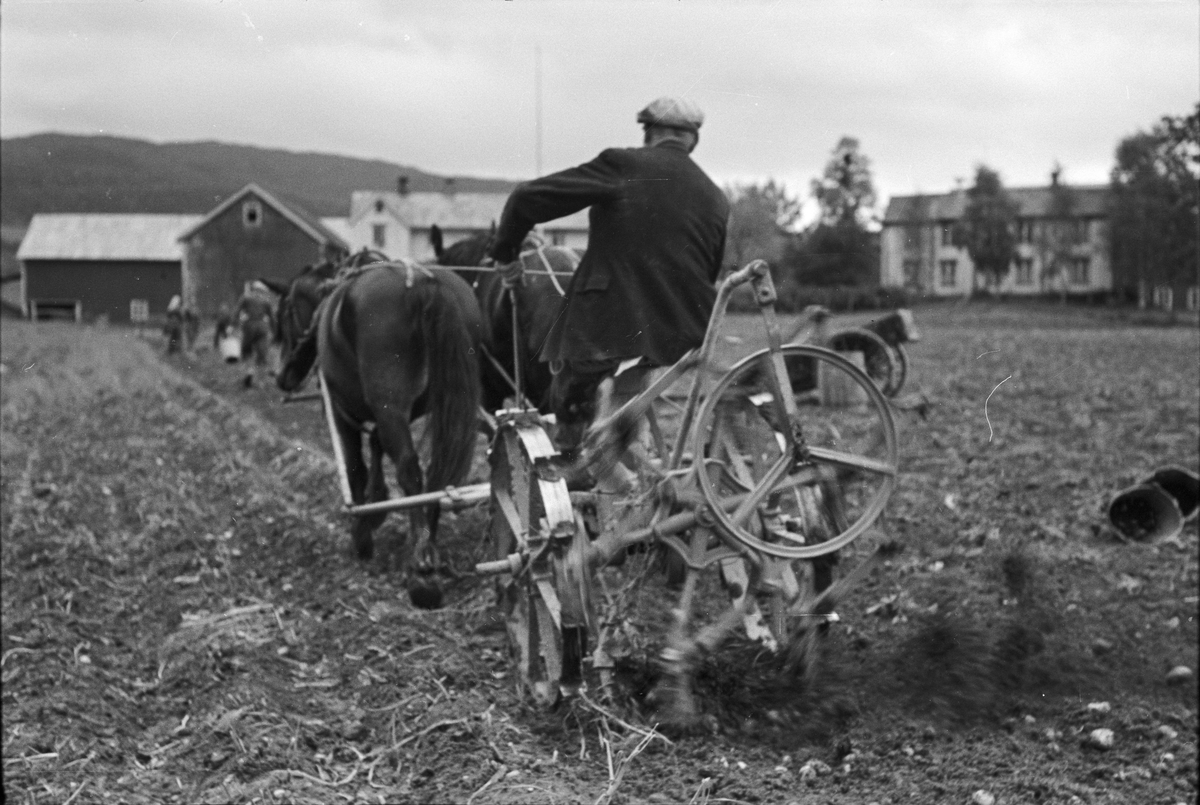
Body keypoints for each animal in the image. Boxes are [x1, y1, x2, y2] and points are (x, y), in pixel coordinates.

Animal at [266, 255, 482, 607]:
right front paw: (377, 504)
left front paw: (362, 530)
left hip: (388, 404)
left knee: (410, 470)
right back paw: (429, 544)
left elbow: (356, 466)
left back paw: (421, 570)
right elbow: (378, 447)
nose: (282, 376)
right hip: (447, 399)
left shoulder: (341, 410)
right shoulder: (388, 413)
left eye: (284, 313)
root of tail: (425, 283)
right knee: (436, 475)